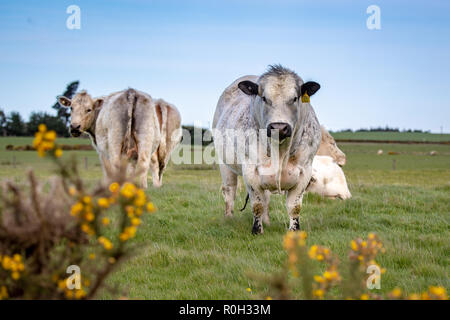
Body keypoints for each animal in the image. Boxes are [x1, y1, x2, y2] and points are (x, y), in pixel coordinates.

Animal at [213, 65, 322, 235]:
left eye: (294, 98)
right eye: (264, 98)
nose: (279, 127)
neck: (281, 151)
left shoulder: (305, 171)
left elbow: (294, 207)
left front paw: (294, 231)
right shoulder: (251, 171)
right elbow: (257, 205)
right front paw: (257, 230)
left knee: (266, 198)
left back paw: (267, 221)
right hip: (225, 164)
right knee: (230, 190)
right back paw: (229, 217)